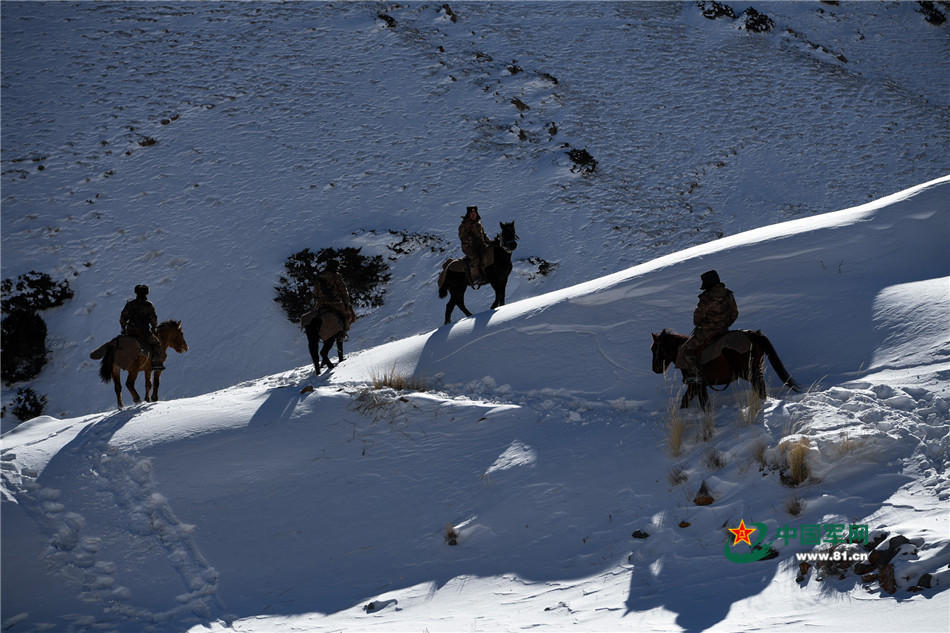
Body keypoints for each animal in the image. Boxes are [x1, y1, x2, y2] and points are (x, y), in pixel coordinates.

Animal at [652, 328, 800, 412]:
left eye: (654, 349)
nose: (655, 369)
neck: (685, 353)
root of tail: (753, 334)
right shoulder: (695, 386)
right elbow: (686, 401)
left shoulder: (697, 385)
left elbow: (701, 404)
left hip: (750, 372)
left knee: (760, 389)